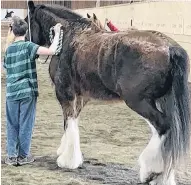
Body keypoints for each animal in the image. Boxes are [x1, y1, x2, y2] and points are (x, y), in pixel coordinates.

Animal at [25, 1, 190, 184]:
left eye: (26, 21)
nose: (26, 41)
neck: (69, 37)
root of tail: (169, 47)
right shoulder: (81, 96)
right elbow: (72, 121)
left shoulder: (65, 93)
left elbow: (69, 122)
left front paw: (67, 160)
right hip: (162, 100)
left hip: (139, 101)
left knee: (163, 126)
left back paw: (151, 170)